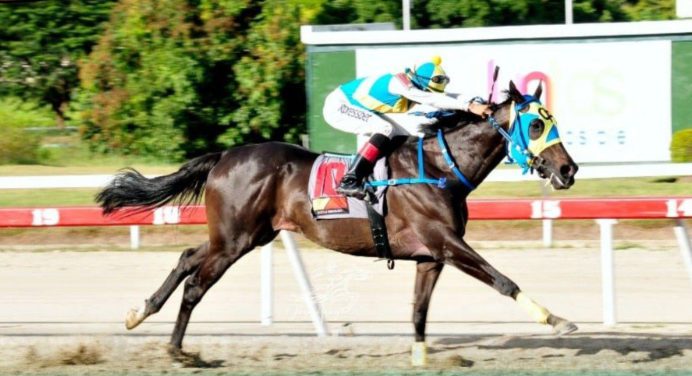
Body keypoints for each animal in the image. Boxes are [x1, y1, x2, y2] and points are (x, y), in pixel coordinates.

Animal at [97, 81, 580, 354]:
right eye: (536, 125)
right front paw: (557, 320)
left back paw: (139, 314)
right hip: (235, 240)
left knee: (186, 258)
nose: (568, 170)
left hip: (243, 236)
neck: (440, 168)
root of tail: (224, 156)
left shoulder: (431, 256)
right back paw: (177, 349)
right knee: (197, 284)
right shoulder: (446, 242)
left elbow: (418, 314)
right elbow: (503, 280)